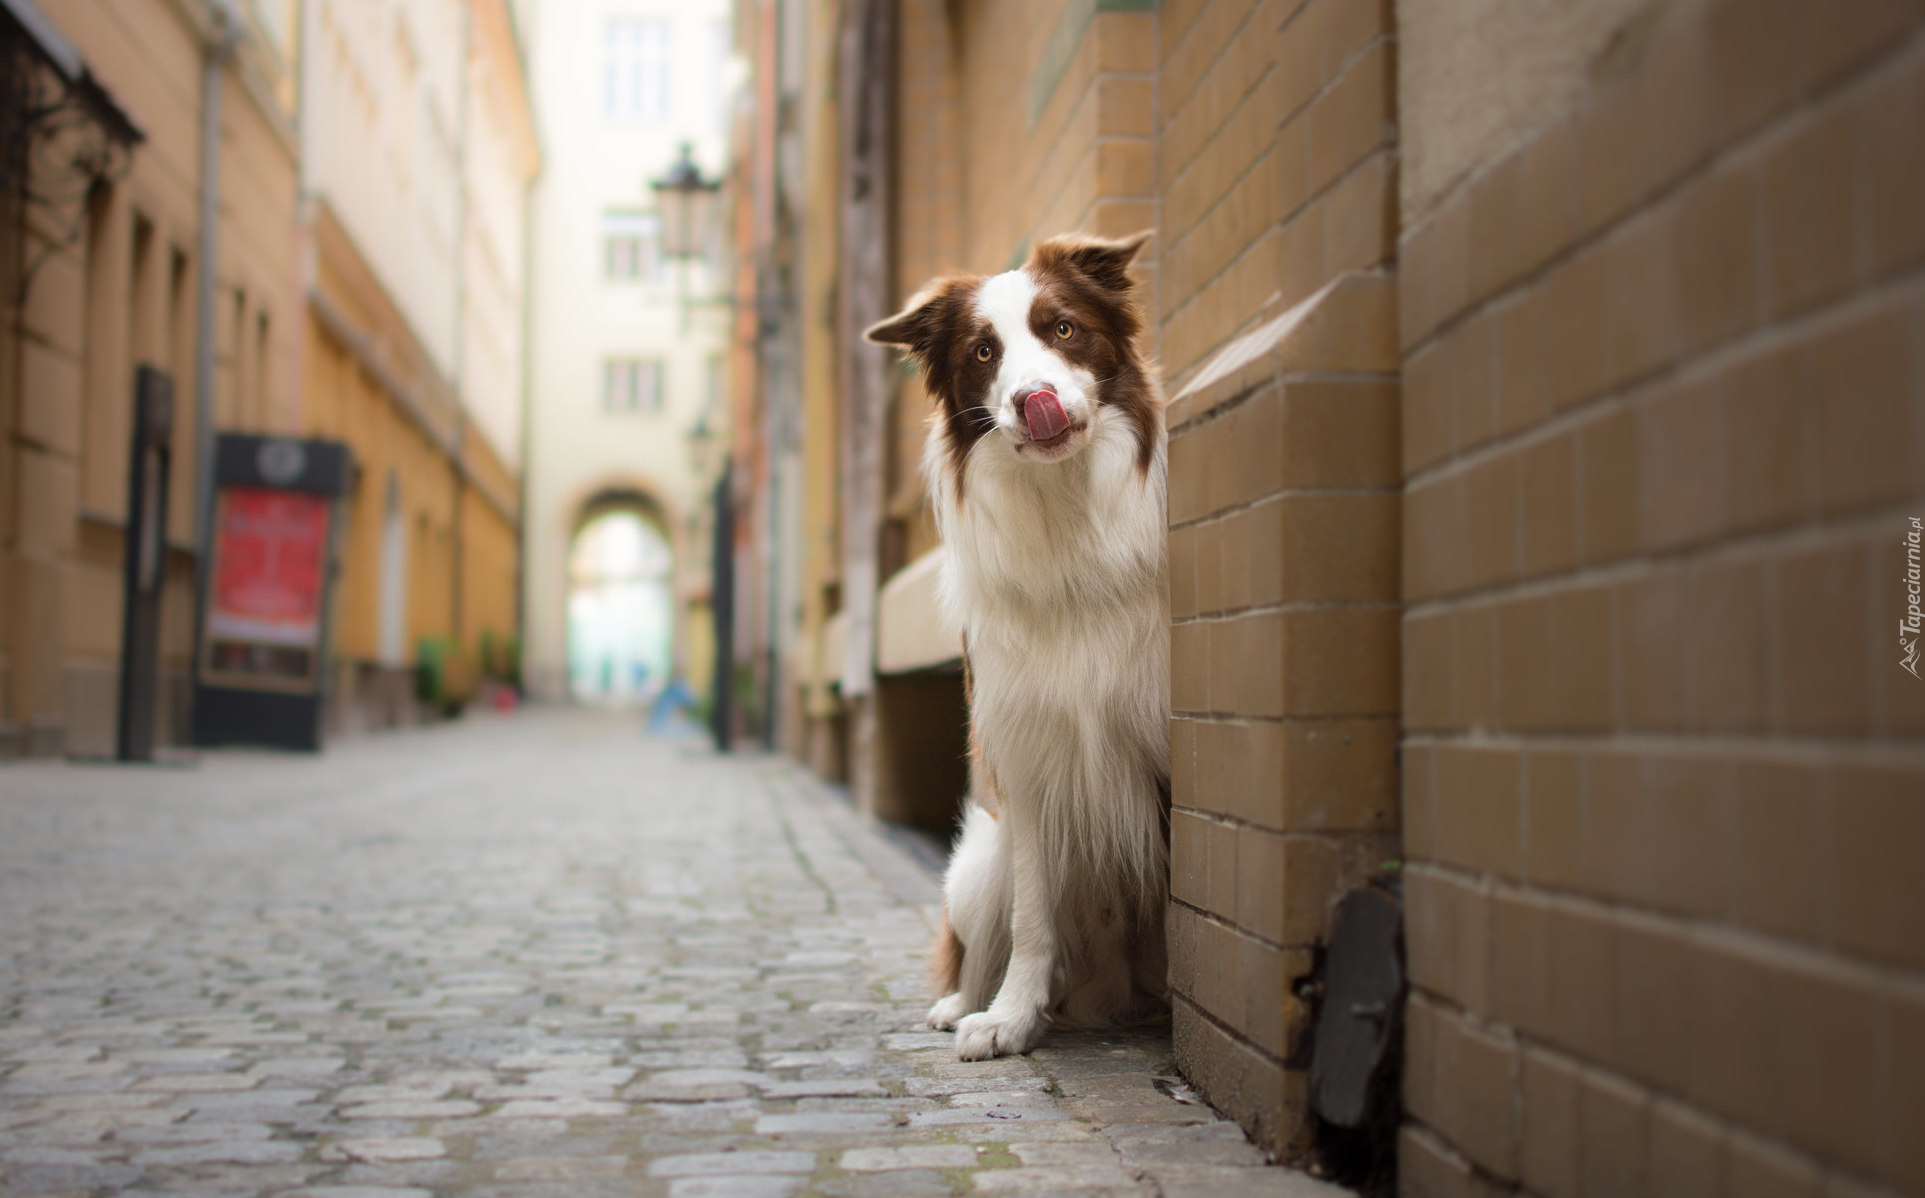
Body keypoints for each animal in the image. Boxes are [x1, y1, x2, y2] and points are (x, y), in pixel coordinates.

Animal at [866, 232, 1162, 1063]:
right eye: (983, 351)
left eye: (1061, 328)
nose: (1033, 400)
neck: (1065, 519)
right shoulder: (1027, 756)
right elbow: (1033, 916)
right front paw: (1010, 1019)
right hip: (976, 862)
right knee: (977, 948)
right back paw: (962, 1005)